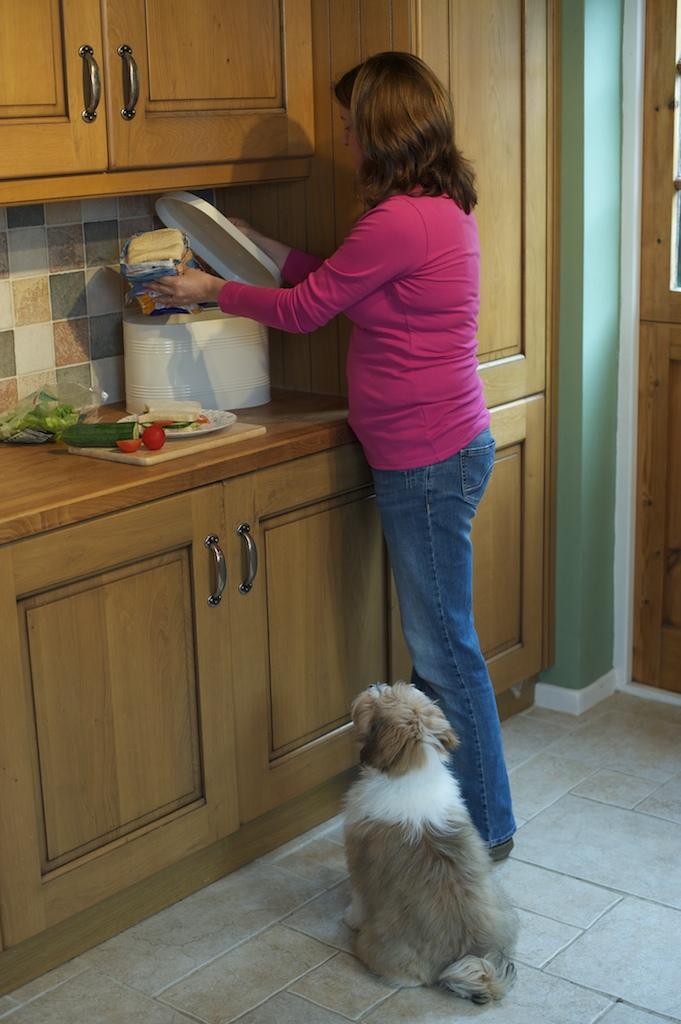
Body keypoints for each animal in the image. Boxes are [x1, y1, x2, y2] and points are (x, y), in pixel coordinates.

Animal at [342, 679, 512, 999]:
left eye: (378, 699)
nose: (373, 683)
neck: (411, 774)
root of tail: (468, 954)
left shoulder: (359, 860)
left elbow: (359, 895)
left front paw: (350, 917)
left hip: (379, 945)